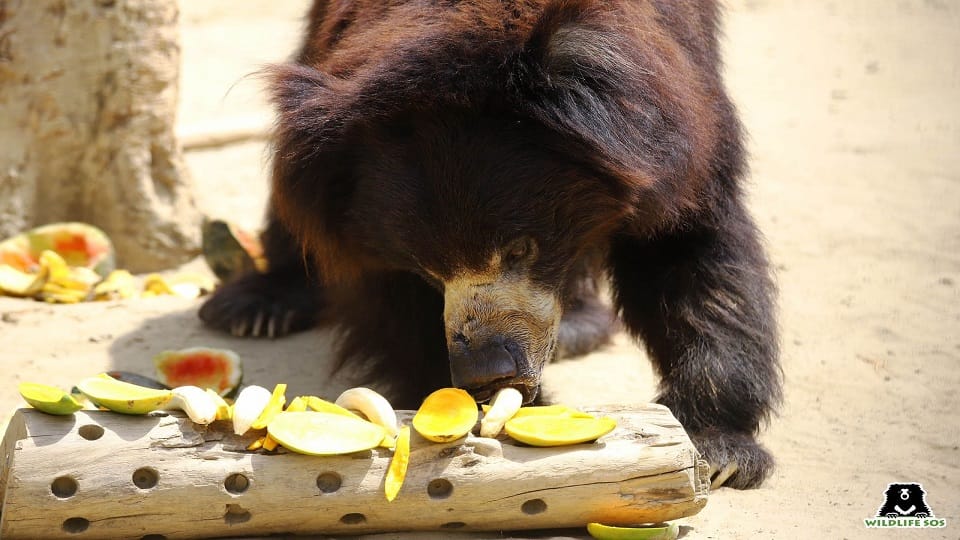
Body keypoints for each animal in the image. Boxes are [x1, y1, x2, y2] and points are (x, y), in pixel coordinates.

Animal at [199, 0, 781, 489]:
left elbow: (697, 257)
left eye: (521, 248)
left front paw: (718, 449)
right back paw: (257, 306)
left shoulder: (678, 116)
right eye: (429, 270)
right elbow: (390, 301)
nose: (486, 373)